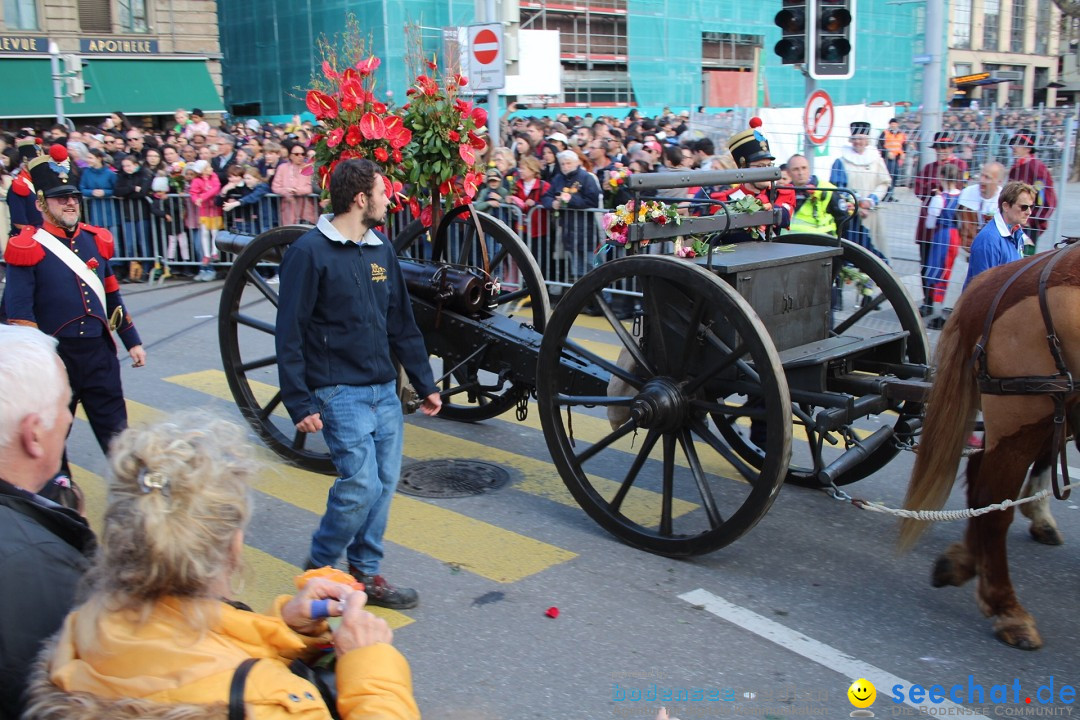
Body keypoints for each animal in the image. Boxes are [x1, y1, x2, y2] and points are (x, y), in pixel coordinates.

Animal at [894, 250, 1080, 651]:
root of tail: (990, 283)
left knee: (984, 482)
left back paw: (966, 565)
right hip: (1023, 410)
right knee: (992, 500)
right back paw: (1007, 609)